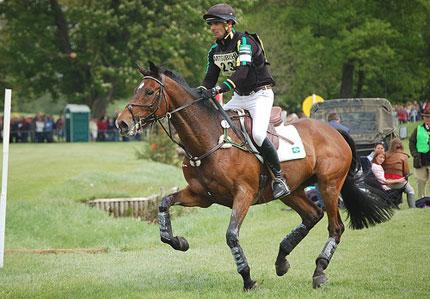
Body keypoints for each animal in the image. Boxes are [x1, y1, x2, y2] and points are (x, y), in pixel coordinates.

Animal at [115, 62, 394, 290]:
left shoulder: (244, 194)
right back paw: (282, 260)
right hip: (292, 191)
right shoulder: (201, 196)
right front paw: (179, 241)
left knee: (335, 227)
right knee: (312, 215)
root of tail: (335, 131)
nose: (121, 123)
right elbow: (164, 206)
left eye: (149, 92)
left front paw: (247, 278)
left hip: (329, 185)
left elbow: (231, 235)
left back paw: (319, 271)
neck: (209, 140)